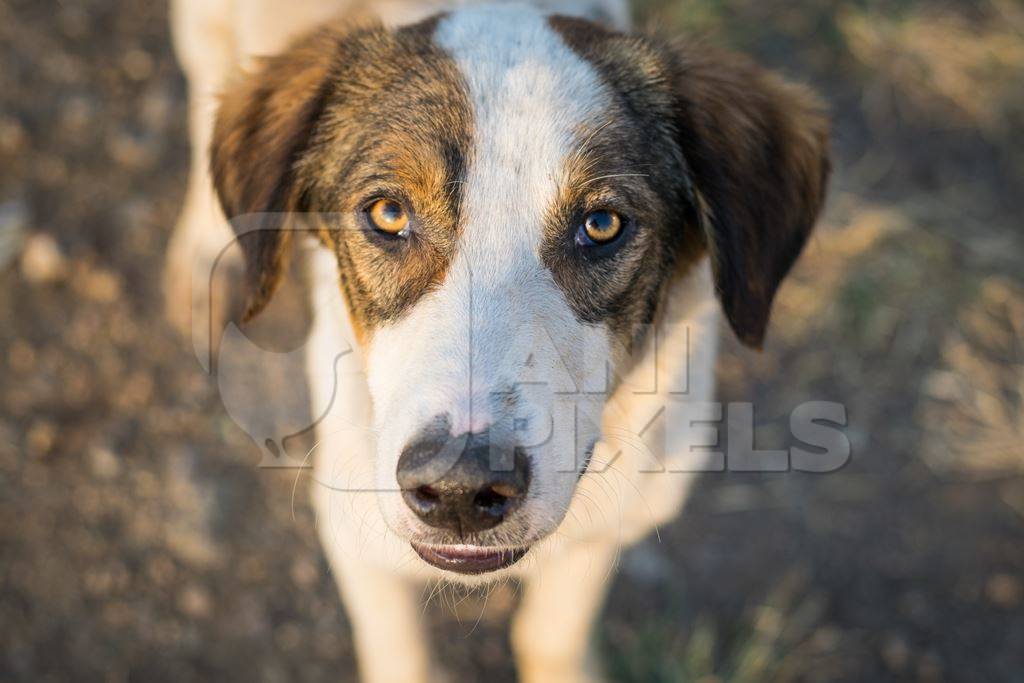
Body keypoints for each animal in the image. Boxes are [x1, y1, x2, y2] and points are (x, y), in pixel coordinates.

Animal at [163, 2, 827, 679]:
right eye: (388, 213)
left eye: (602, 224)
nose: (460, 489)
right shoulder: (356, 534)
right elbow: (402, 656)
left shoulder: (611, 522)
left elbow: (550, 636)